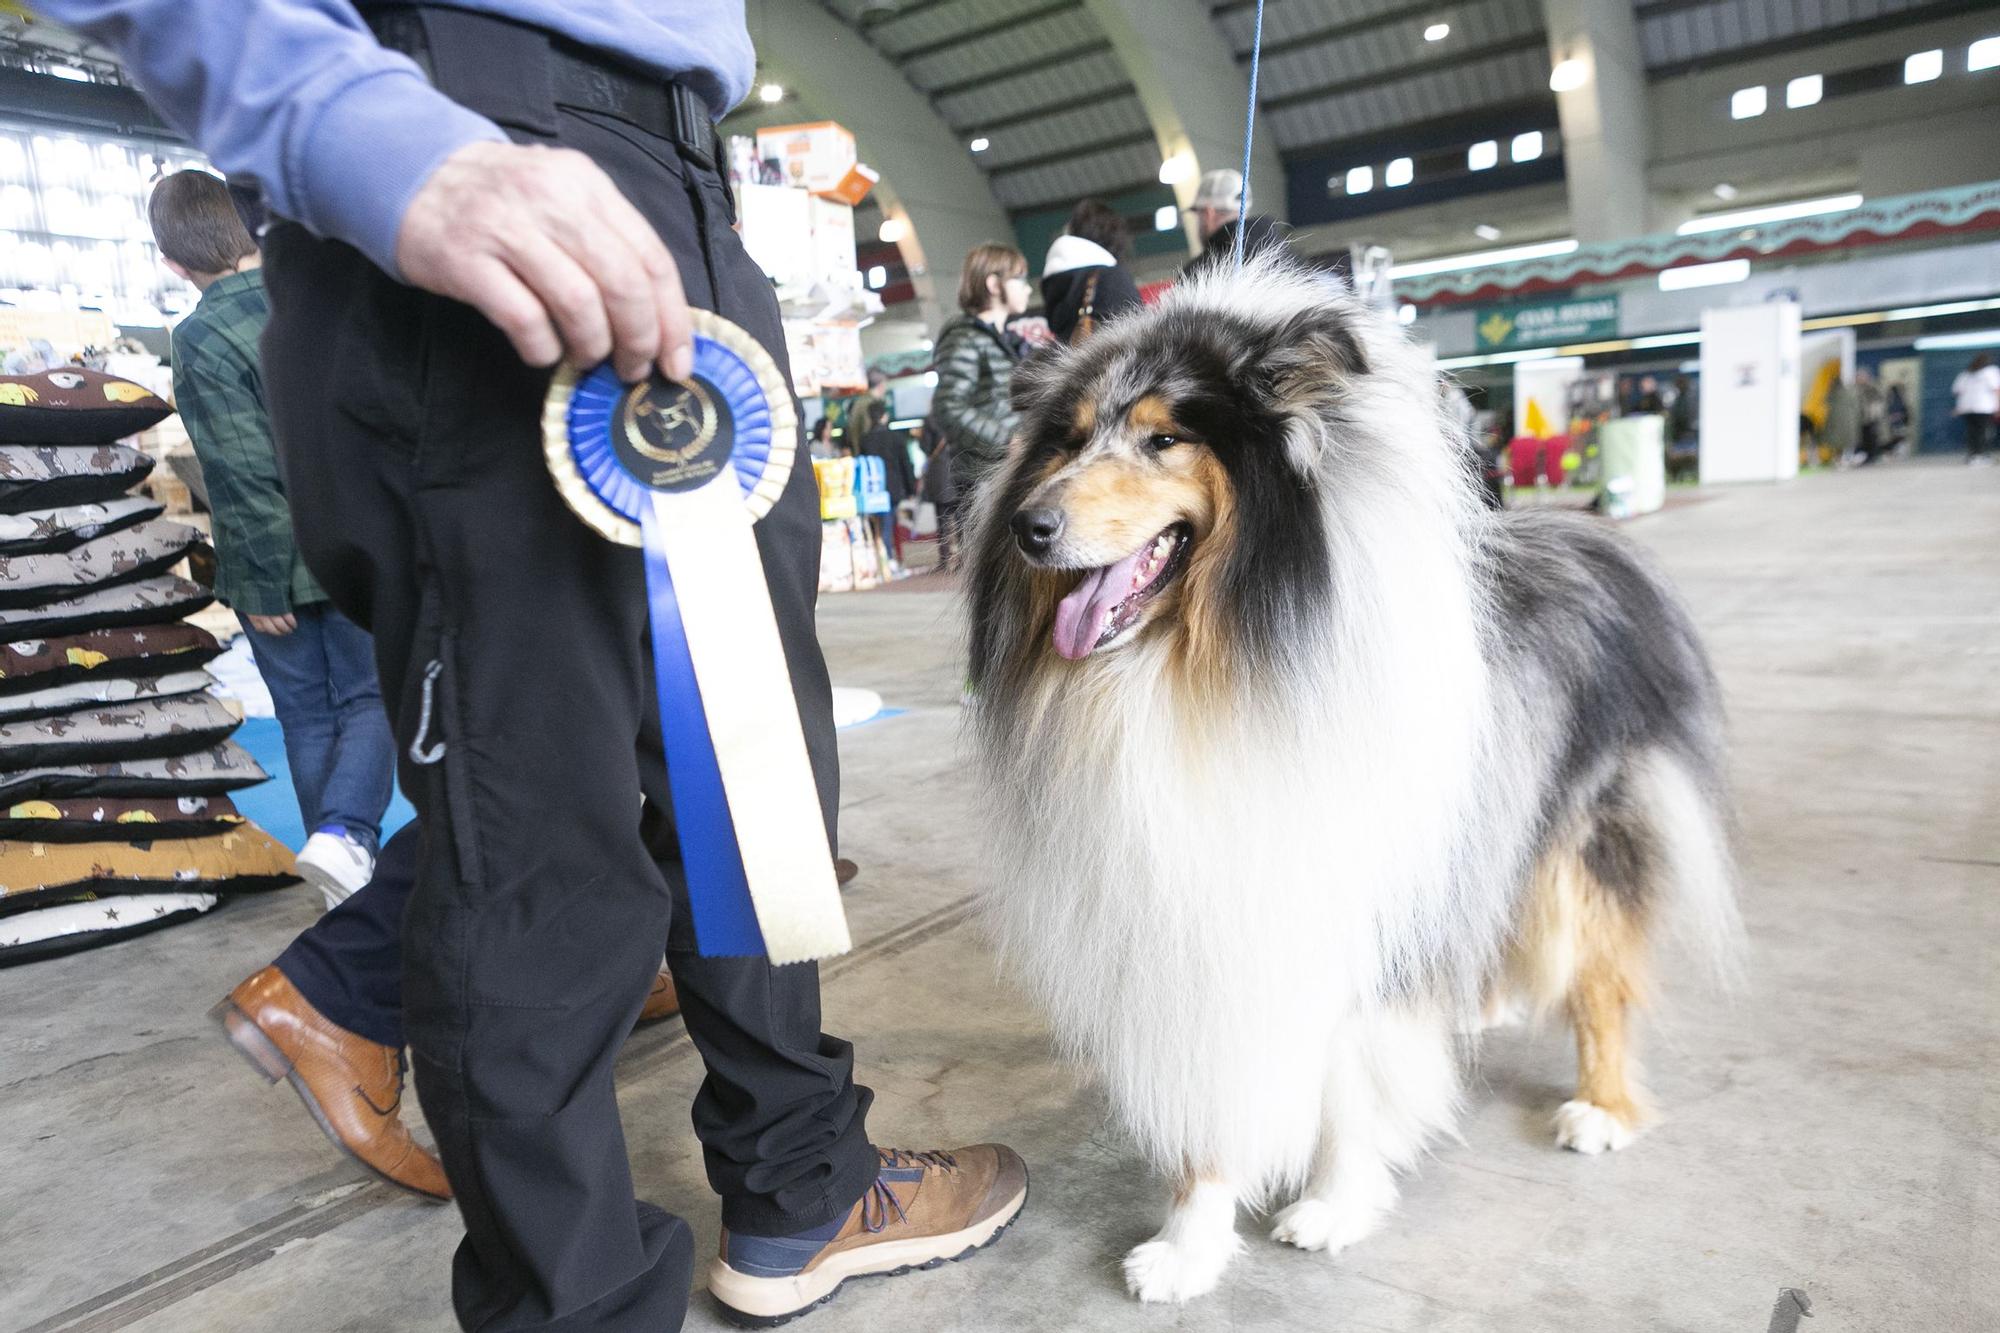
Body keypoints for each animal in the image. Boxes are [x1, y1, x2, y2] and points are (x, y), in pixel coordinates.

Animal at [964, 256, 1736, 1296]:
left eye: (1166, 437)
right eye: (1071, 438)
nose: (1026, 526)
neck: (1200, 670)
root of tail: (1595, 541)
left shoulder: (1340, 899)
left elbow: (1351, 1079)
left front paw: (1335, 1203)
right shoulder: (1190, 927)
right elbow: (1215, 1096)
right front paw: (1188, 1245)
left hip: (1588, 839)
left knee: (1601, 978)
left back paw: (1601, 1108)